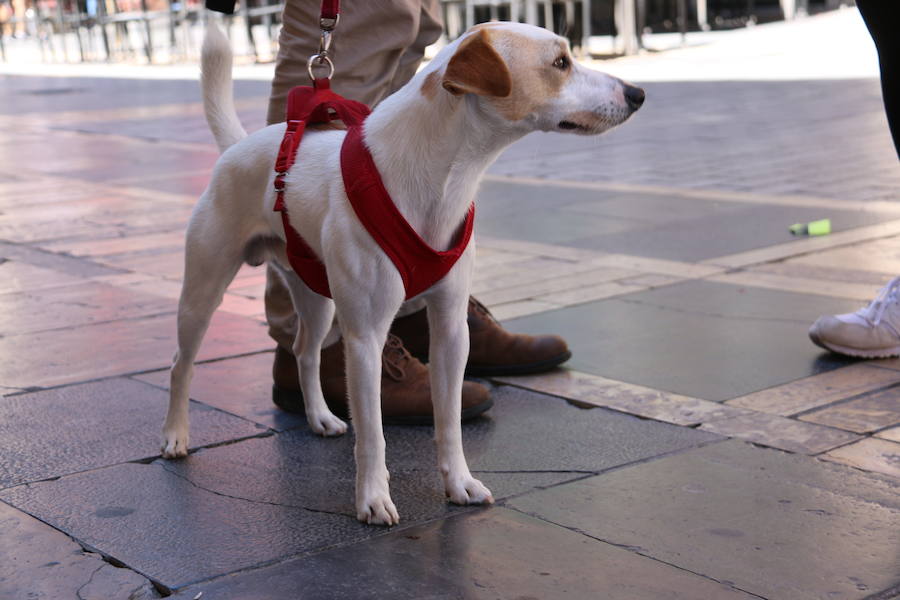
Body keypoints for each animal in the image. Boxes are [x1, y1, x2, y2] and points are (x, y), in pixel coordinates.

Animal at [162, 18, 640, 524]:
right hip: (204, 288)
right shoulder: (366, 340)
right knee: (181, 365)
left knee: (305, 352)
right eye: (560, 62)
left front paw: (459, 483)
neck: (446, 177)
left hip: (316, 296)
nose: (638, 93)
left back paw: (319, 417)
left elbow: (449, 419)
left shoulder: (450, 329)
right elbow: (373, 433)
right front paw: (372, 499)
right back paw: (176, 435)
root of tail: (237, 147)